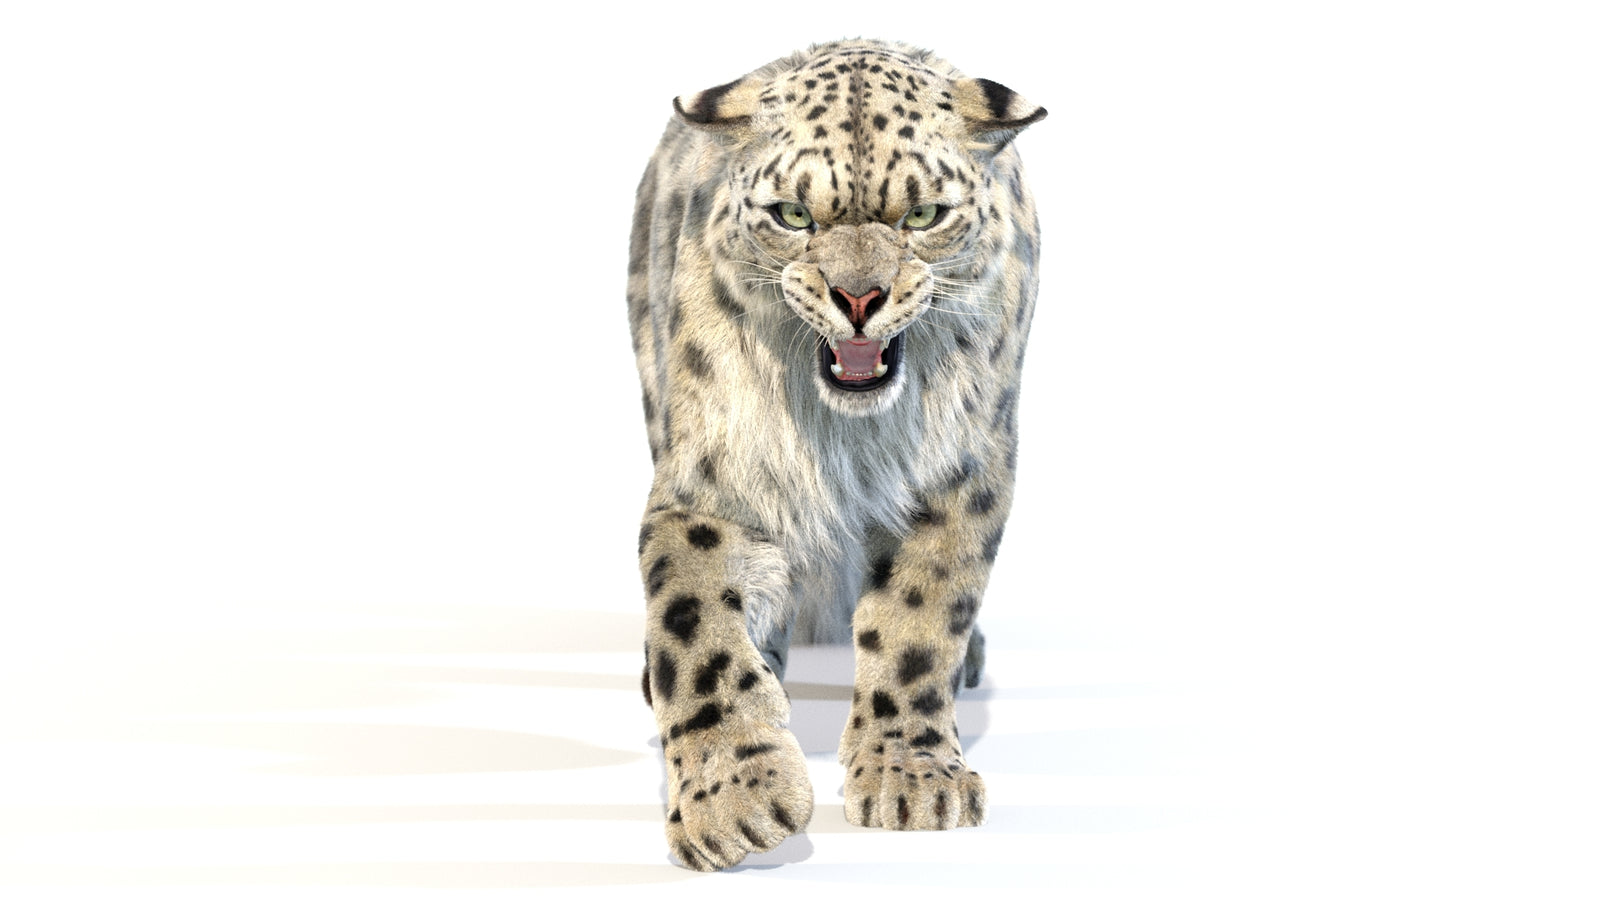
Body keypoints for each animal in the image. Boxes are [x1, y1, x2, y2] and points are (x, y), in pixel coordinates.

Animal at [626, 39, 1045, 870]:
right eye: (793, 215)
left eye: (924, 214)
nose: (858, 298)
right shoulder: (711, 482)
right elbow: (694, 626)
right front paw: (733, 803)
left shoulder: (961, 473)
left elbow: (920, 618)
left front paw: (911, 778)